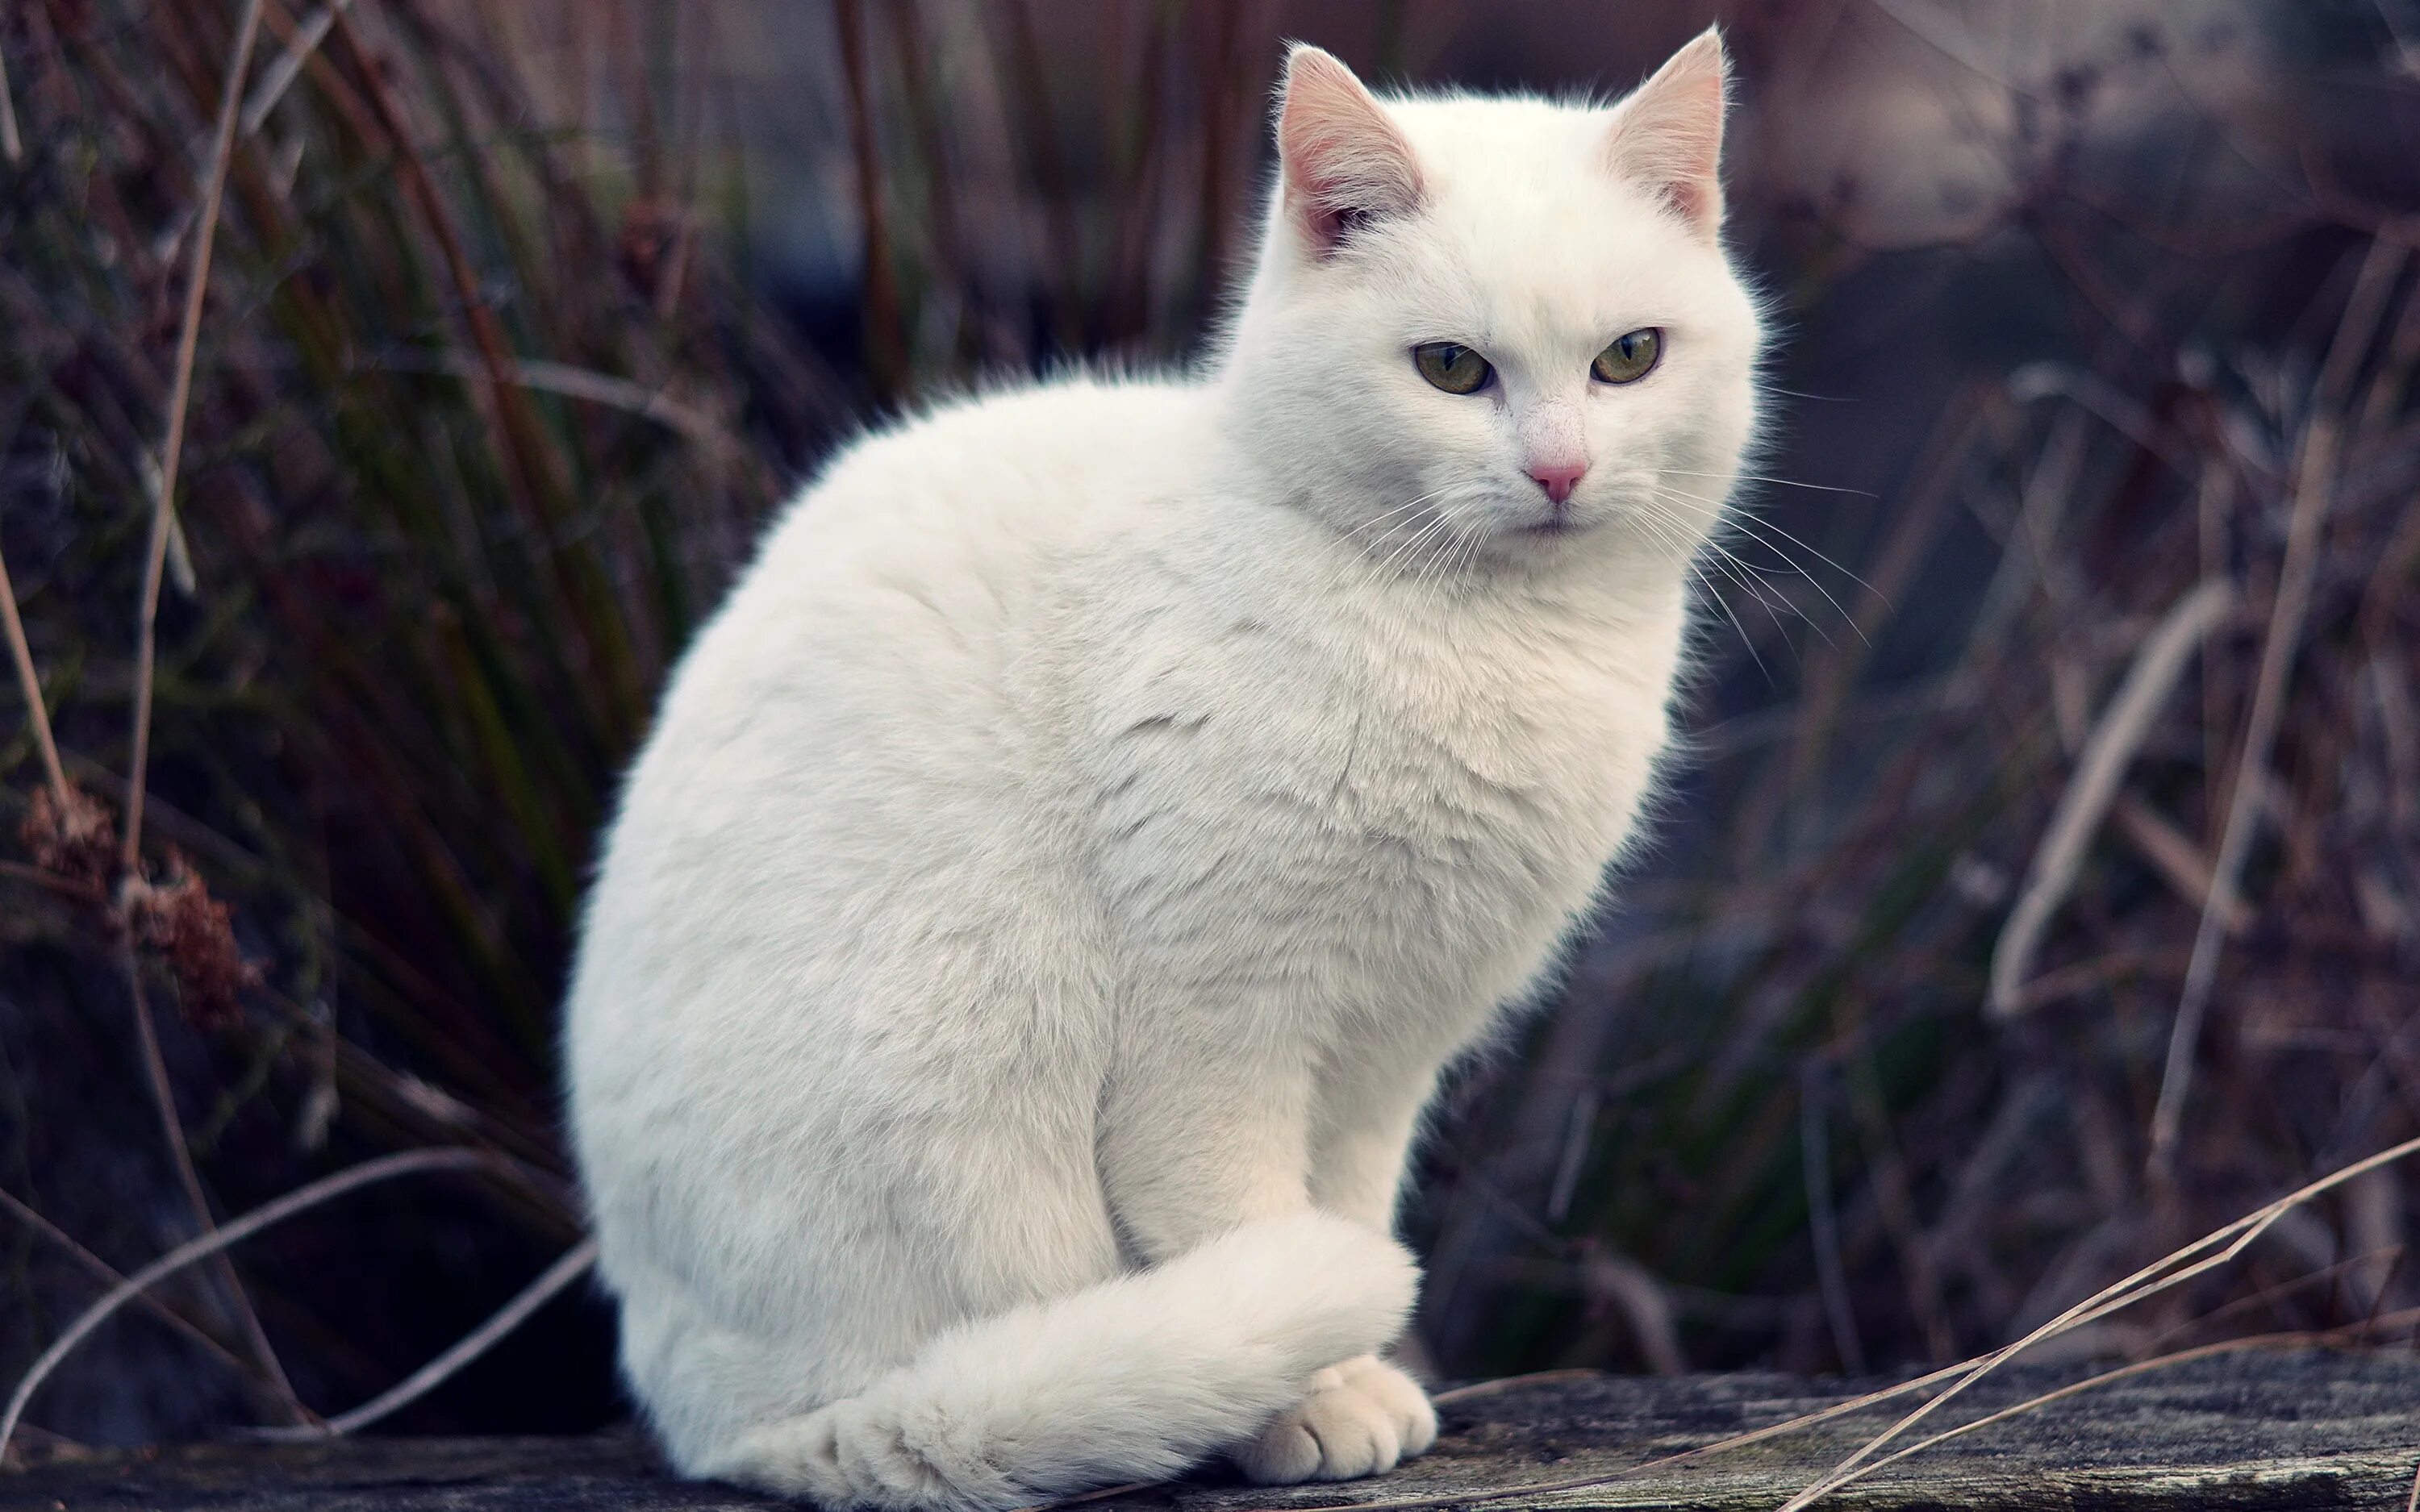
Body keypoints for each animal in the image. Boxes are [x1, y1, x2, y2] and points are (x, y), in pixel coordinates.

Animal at [566, 29, 1762, 1500]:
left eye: (1630, 357)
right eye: (1450, 370)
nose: (1559, 472)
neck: (1483, 640)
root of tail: (718, 1418)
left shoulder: (1383, 1055)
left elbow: (1340, 1206)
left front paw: (1353, 1382)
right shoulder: (1216, 1025)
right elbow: (1238, 1222)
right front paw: (1308, 1407)